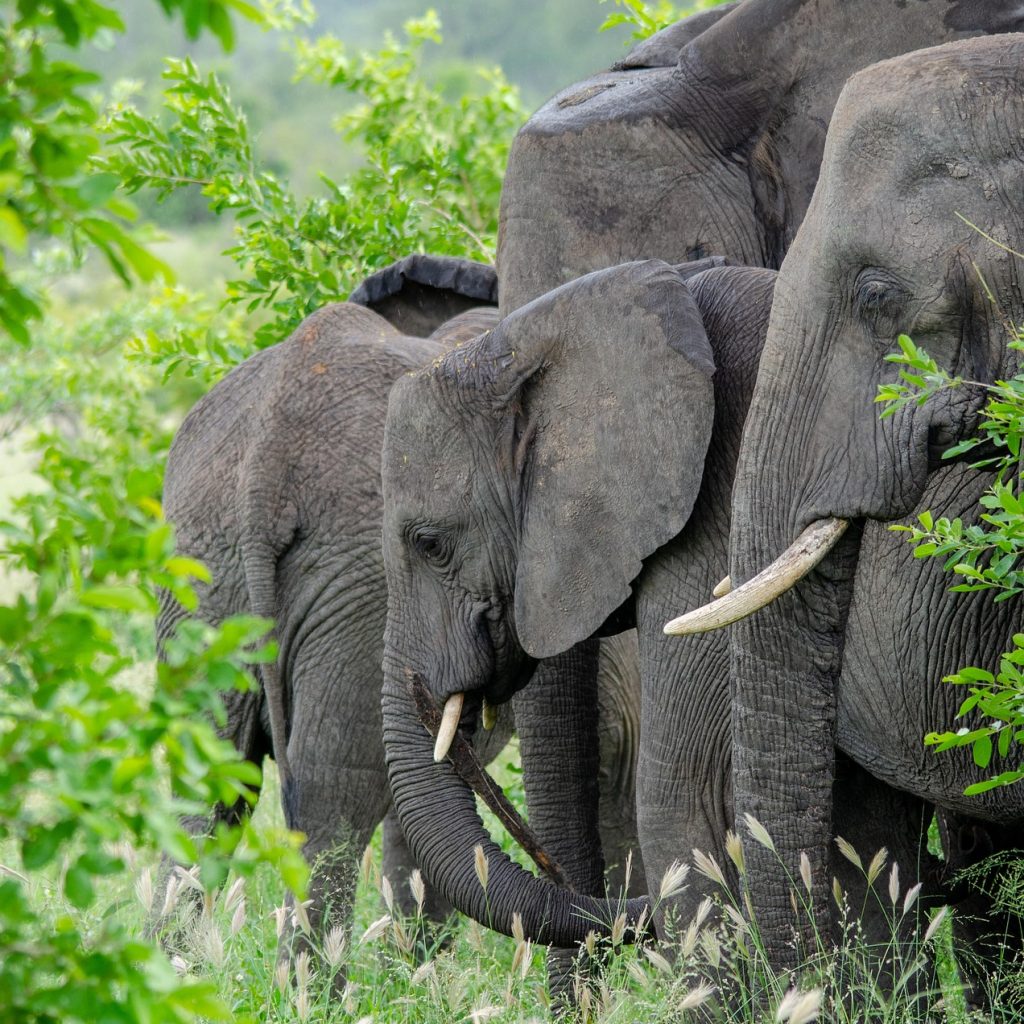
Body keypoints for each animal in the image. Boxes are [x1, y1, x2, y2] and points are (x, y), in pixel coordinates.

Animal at [155, 255, 644, 988]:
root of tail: (268, 451)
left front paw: (414, 978)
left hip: (201, 570)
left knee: (206, 790)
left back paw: (168, 977)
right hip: (356, 576)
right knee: (336, 793)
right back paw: (314, 994)